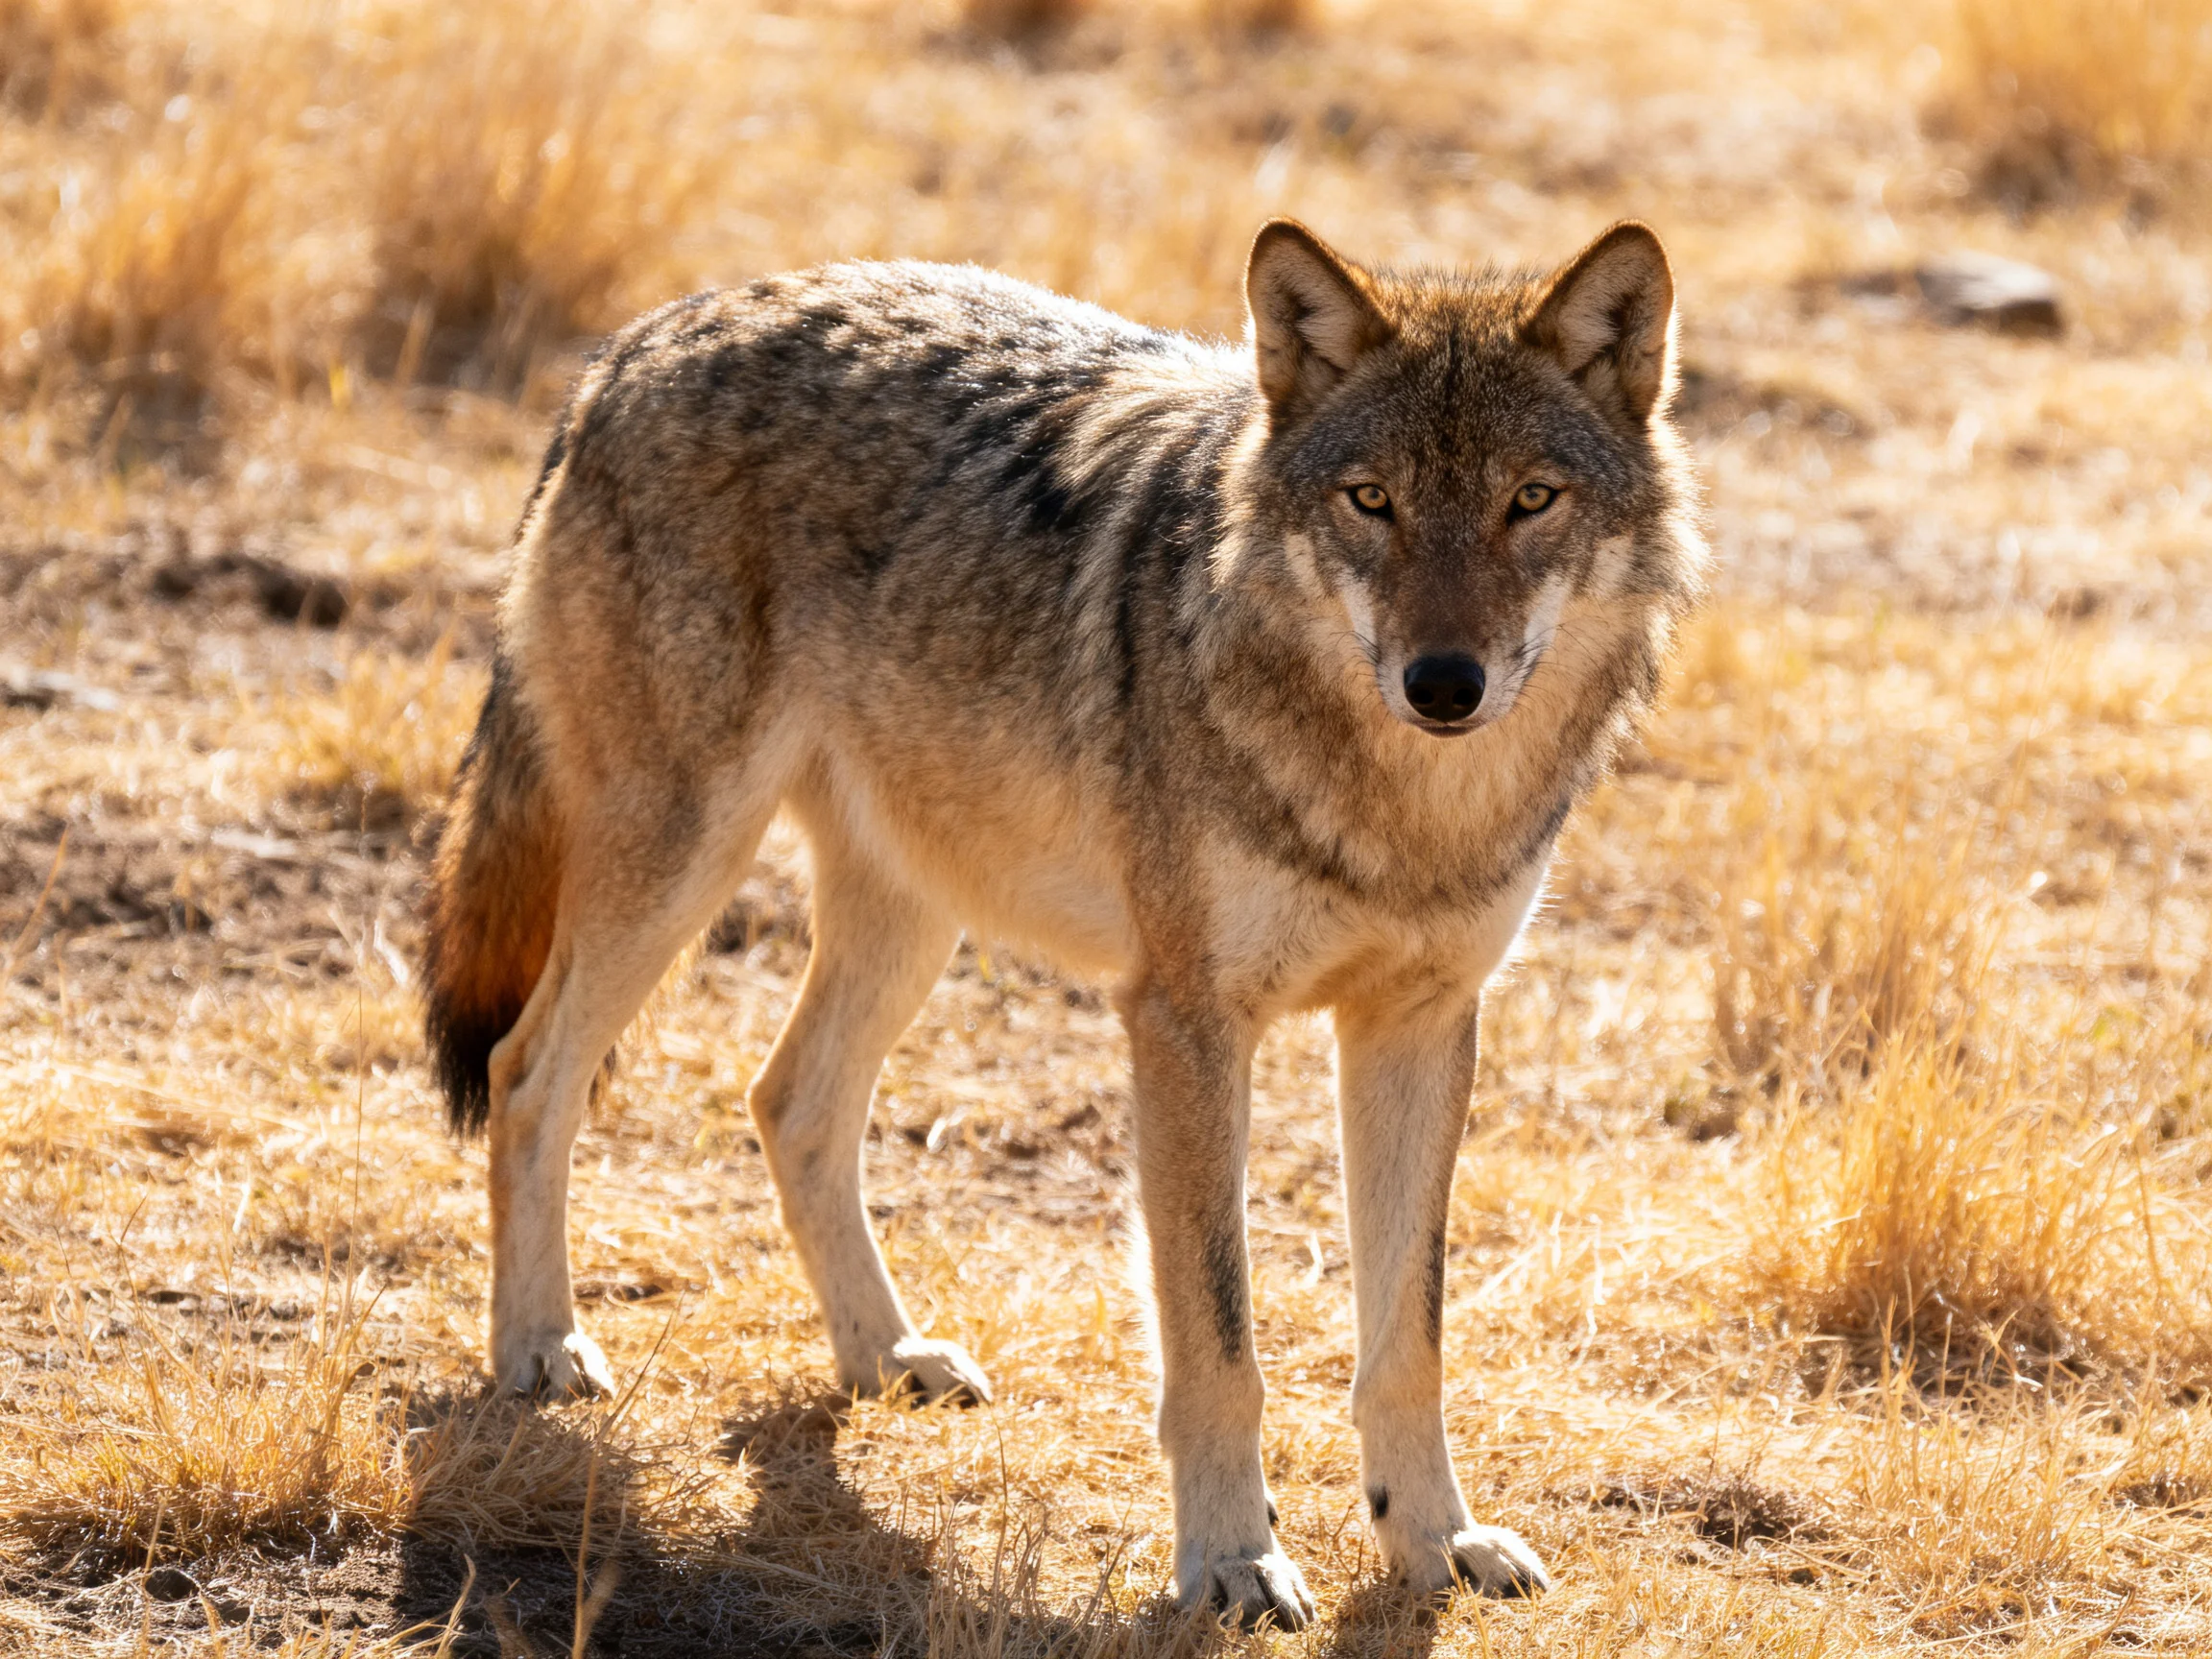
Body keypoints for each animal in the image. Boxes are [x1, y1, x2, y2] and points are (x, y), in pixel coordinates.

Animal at [422, 218, 1703, 1627]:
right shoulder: (1184, 1023)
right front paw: (1232, 1561)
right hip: (680, 863)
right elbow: (1220, 1341)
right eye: (1372, 501)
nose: (1443, 684)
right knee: (528, 1074)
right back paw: (541, 1349)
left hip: (911, 915)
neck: (1405, 811)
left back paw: (886, 1357)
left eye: (1531, 500)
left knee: (788, 1100)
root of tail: (640, 340)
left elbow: (1407, 1339)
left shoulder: (1420, 1027)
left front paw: (1434, 1541)